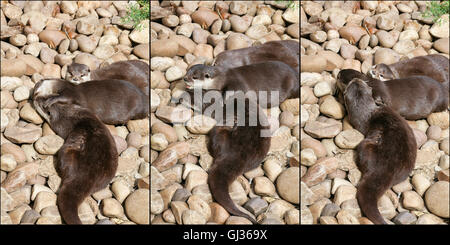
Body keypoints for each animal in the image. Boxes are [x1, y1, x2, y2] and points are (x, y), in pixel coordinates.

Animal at [344, 78, 418, 224]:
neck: (369, 112)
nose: (356, 78)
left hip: (365, 145)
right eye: (358, 83)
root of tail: (386, 170)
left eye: (351, 83)